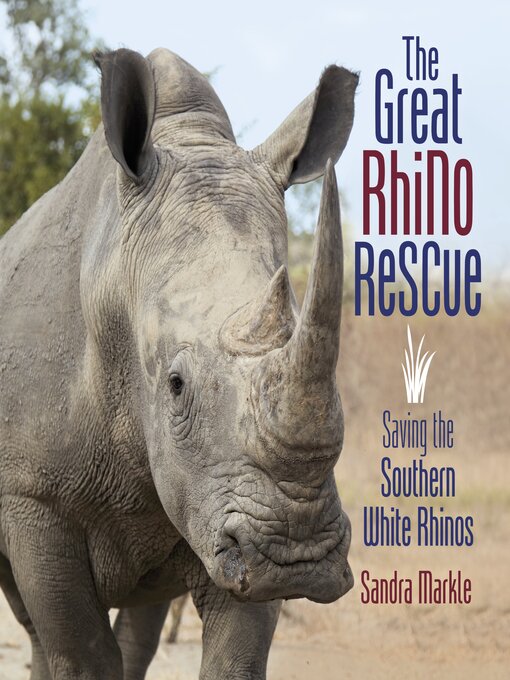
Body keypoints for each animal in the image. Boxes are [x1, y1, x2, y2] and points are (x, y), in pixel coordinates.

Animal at [0, 47, 358, 679]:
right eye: (174, 384)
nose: (297, 555)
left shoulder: (220, 508)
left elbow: (236, 656)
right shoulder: (32, 495)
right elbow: (80, 652)